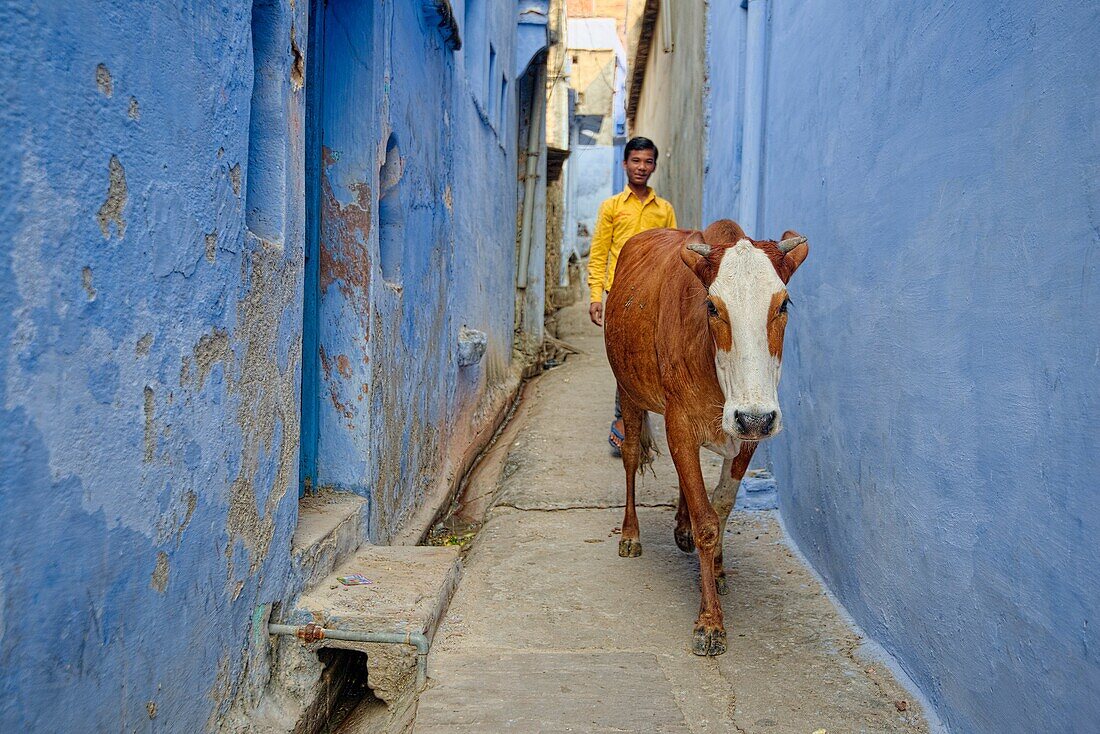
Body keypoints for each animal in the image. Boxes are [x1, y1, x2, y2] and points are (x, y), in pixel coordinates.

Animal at [602, 217, 809, 655]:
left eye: (784, 304)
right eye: (712, 306)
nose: (754, 416)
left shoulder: (748, 433)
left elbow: (722, 505)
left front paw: (717, 569)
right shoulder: (680, 425)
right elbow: (707, 523)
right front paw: (710, 622)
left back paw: (680, 529)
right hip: (629, 392)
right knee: (630, 457)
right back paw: (630, 534)